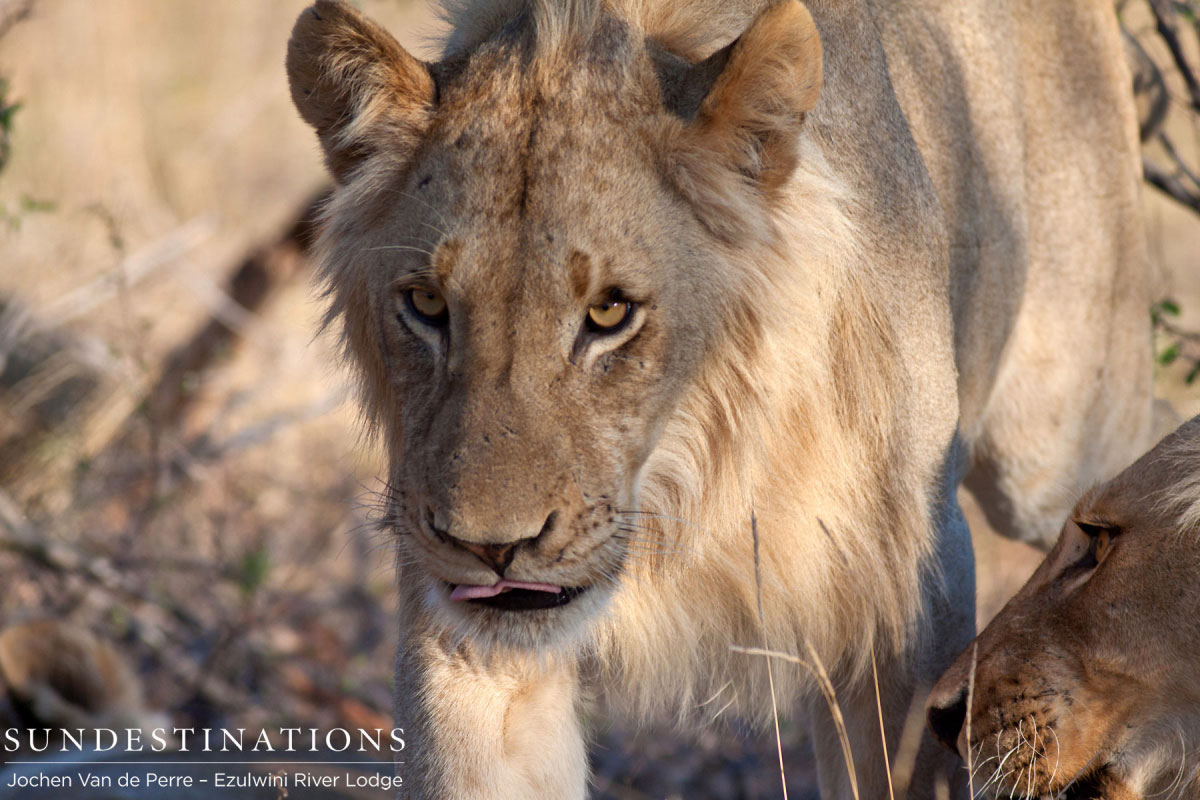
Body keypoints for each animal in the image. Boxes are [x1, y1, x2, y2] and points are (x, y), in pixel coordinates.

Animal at [285, 0, 1158, 796]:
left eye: (610, 312)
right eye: (427, 305)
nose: (490, 549)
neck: (693, 470)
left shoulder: (914, 588)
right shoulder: (462, 628)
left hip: (1056, 449)